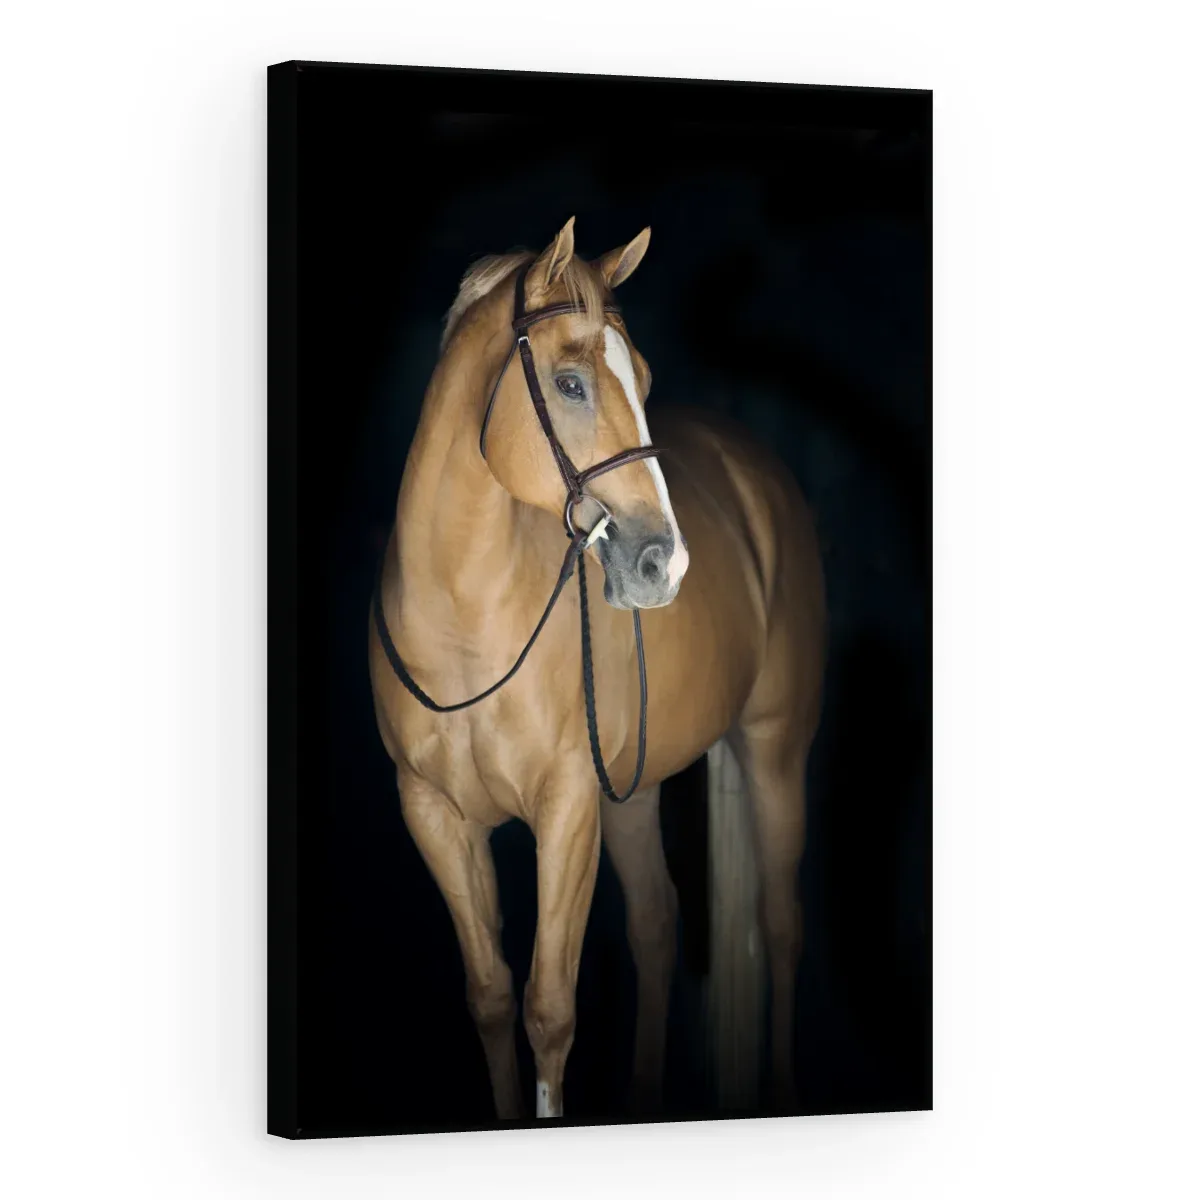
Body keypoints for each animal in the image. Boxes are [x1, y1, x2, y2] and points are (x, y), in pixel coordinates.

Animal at [368, 218, 826, 1120]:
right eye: (571, 383)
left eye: (641, 378)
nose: (663, 563)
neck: (464, 620)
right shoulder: (433, 813)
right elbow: (491, 996)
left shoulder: (567, 808)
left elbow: (549, 1008)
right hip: (635, 793)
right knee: (656, 926)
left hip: (773, 753)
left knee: (784, 923)